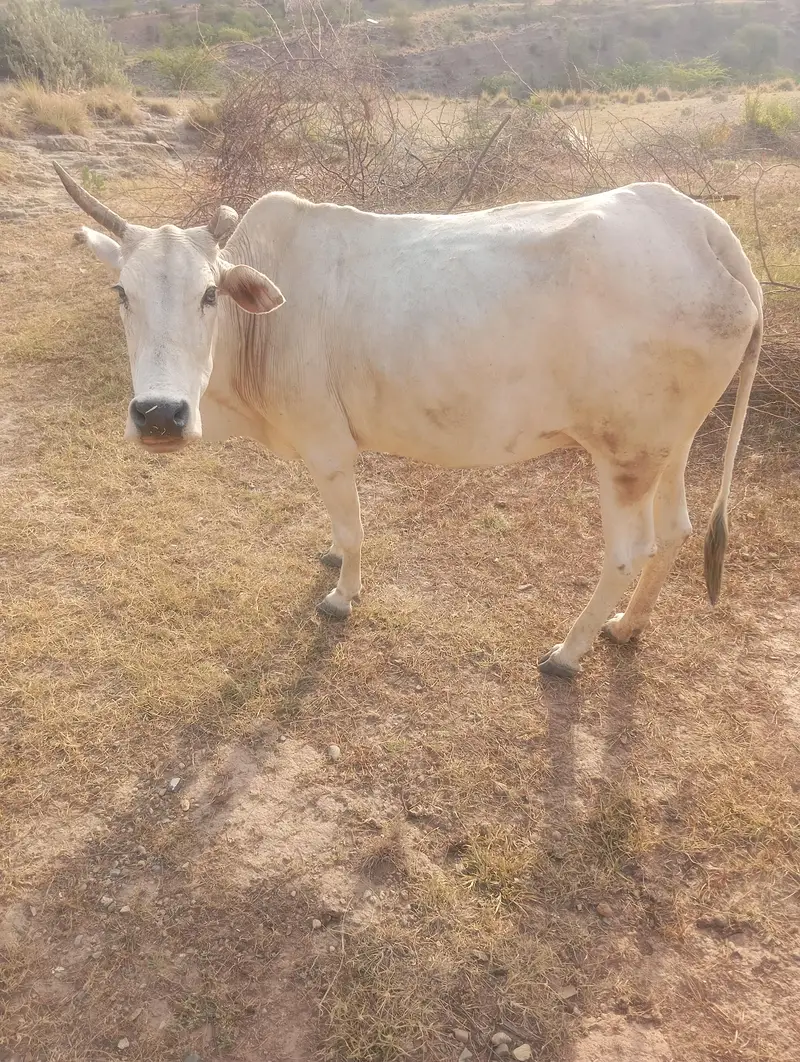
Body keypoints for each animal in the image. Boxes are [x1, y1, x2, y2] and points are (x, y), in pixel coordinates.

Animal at [54, 163, 763, 679]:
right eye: (122, 293)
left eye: (209, 294)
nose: (160, 415)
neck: (260, 328)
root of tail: (699, 224)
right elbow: (339, 530)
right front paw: (331, 555)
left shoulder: (328, 444)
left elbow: (354, 526)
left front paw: (342, 594)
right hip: (669, 445)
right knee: (675, 530)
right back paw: (627, 628)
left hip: (623, 454)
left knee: (626, 551)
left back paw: (568, 653)